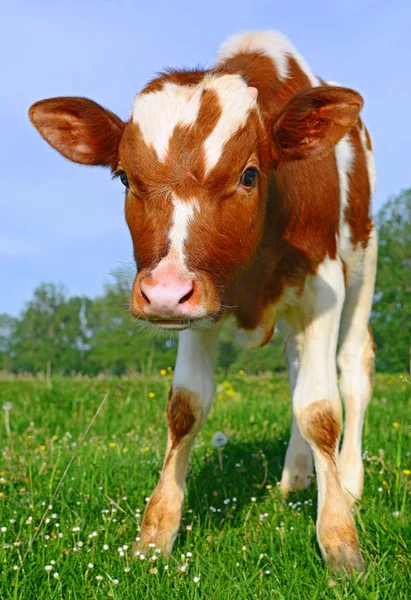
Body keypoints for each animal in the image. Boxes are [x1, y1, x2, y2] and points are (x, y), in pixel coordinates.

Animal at [28, 29, 376, 572]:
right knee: (297, 369)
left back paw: (350, 480)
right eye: (125, 177)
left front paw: (340, 540)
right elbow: (186, 407)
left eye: (250, 174)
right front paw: (156, 534)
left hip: (364, 263)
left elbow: (320, 409)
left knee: (353, 368)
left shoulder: (324, 285)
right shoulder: (198, 308)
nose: (164, 291)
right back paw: (297, 475)